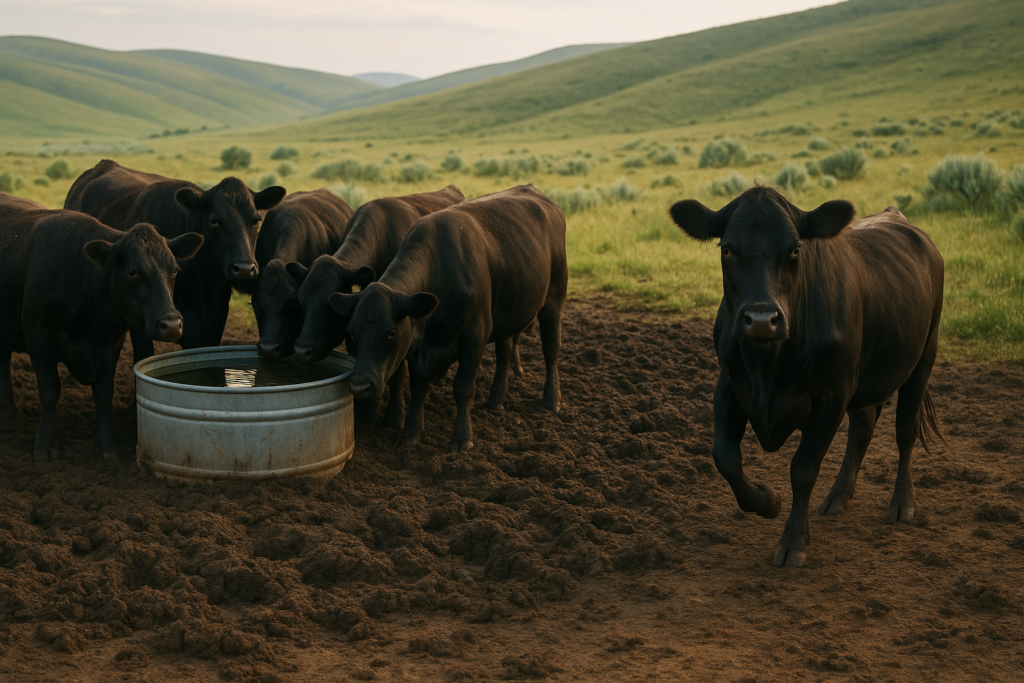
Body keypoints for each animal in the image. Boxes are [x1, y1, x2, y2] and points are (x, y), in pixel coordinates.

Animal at [0, 193, 203, 461]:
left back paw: (8, 410)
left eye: (175, 271)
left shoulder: (110, 341)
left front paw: (108, 446)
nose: (171, 324)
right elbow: (50, 391)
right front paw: (42, 447)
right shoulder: (38, 336)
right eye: (132, 271)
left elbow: (104, 393)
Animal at [282, 185, 465, 427]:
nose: (302, 350)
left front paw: (393, 415)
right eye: (299, 302)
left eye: (329, 304)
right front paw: (364, 411)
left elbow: (397, 373)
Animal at [327, 184, 567, 452]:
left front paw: (462, 438)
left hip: (554, 298)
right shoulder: (420, 348)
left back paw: (552, 400)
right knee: (504, 354)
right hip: (508, 313)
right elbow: (419, 386)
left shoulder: (475, 335)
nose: (359, 386)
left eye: (391, 332)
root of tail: (532, 190)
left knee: (551, 348)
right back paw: (496, 400)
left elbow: (462, 387)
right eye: (351, 333)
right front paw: (410, 434)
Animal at [669, 186, 944, 568]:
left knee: (905, 431)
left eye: (795, 249)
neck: (768, 365)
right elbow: (724, 456)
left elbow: (803, 469)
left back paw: (903, 503)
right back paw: (838, 497)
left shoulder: (831, 397)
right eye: (726, 249)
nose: (761, 319)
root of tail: (895, 216)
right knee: (863, 427)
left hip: (923, 356)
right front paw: (767, 501)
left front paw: (794, 541)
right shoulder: (729, 384)